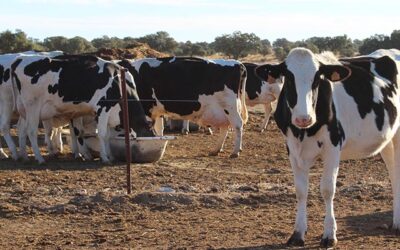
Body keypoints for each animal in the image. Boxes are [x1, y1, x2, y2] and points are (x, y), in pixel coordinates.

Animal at [11, 54, 153, 164]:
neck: (119, 82)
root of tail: (20, 60)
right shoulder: (103, 108)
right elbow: (102, 134)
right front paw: (105, 158)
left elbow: (105, 136)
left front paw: (109, 155)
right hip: (32, 107)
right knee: (31, 131)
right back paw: (39, 158)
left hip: (24, 110)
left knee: (21, 129)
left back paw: (24, 156)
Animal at [118, 57, 247, 158]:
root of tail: (237, 63)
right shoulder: (156, 111)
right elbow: (159, 130)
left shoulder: (147, 109)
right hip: (222, 110)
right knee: (225, 126)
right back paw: (216, 150)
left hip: (230, 106)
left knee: (237, 125)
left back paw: (235, 152)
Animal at [255, 47, 400, 247]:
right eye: (288, 78)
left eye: (317, 79)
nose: (304, 118)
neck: (304, 131)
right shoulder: (292, 149)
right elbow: (301, 191)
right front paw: (298, 233)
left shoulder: (333, 147)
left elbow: (327, 189)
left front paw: (329, 234)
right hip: (387, 140)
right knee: (394, 174)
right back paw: (395, 222)